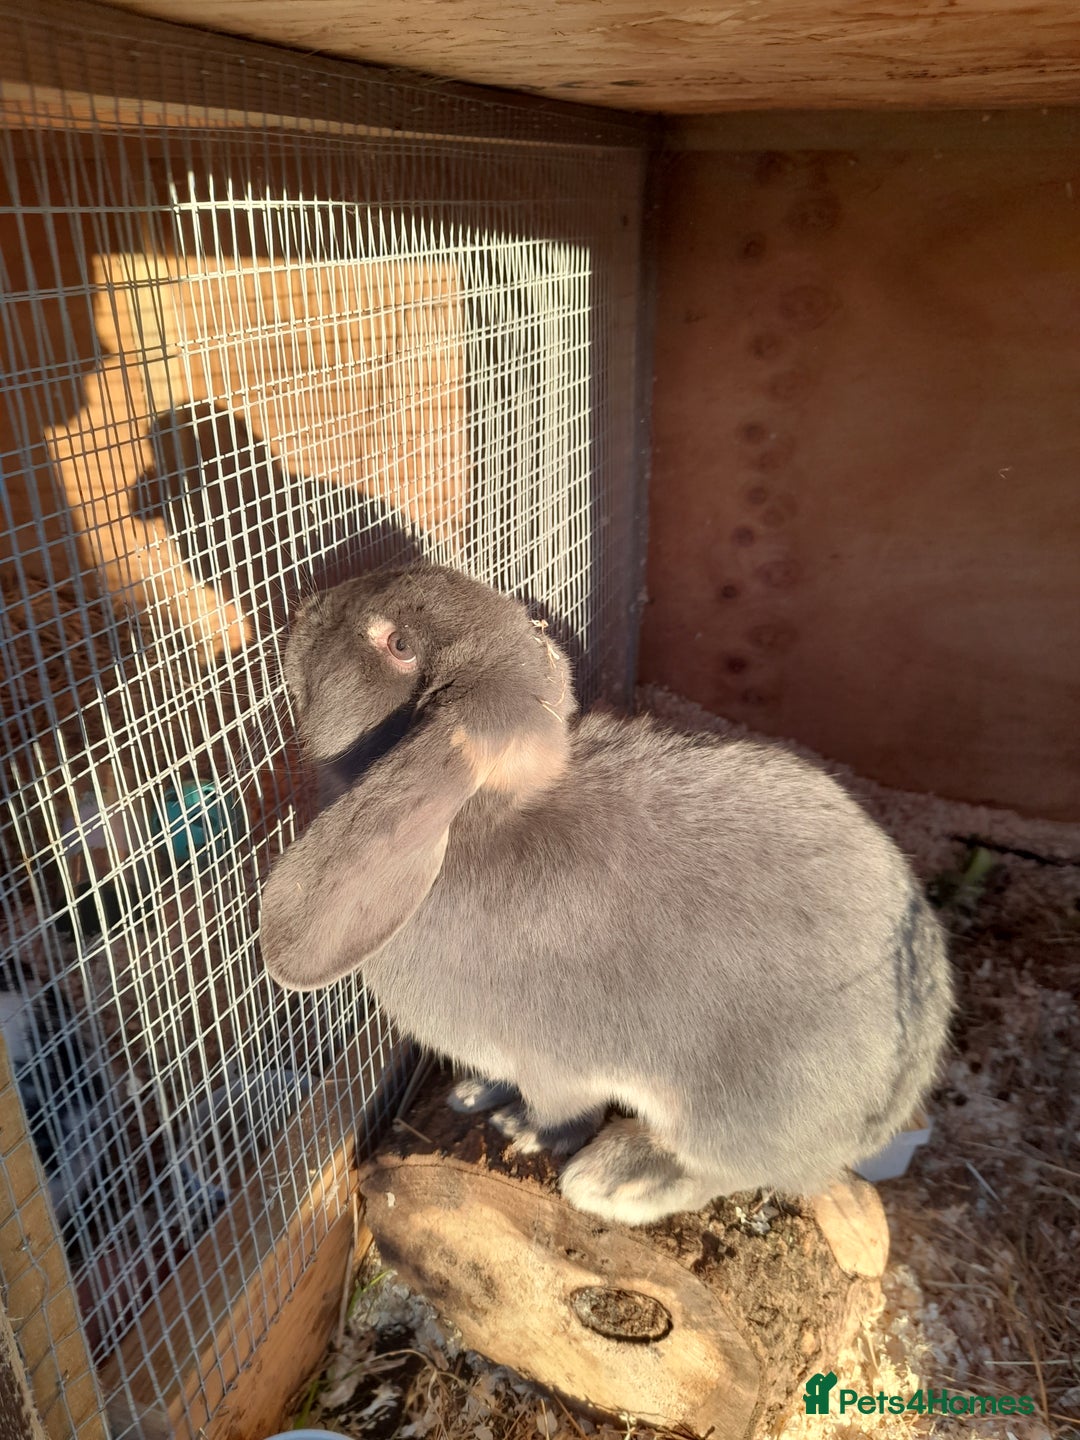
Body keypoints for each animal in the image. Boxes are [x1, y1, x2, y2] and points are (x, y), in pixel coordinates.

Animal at [260, 561, 953, 1225]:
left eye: (398, 644)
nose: (307, 605)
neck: (476, 823)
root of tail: (891, 1105)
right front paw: (474, 1094)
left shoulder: (553, 1064)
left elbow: (563, 1114)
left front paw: (524, 1132)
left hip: (740, 1109)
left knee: (721, 1171)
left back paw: (613, 1181)